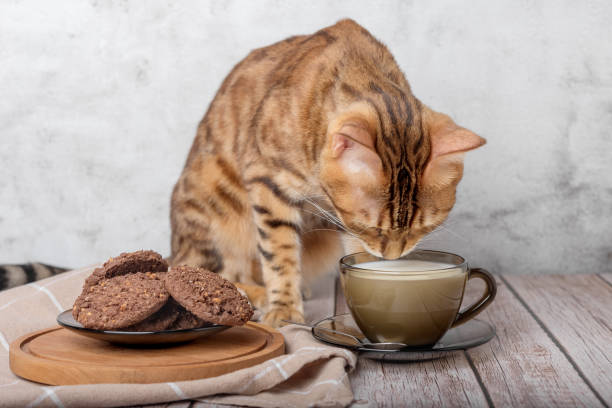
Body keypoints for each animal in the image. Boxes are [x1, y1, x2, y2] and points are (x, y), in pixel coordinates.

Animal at [170, 19, 486, 326]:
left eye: (422, 229)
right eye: (370, 226)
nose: (391, 257)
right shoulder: (267, 181)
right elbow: (279, 253)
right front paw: (284, 306)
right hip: (214, 211)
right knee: (202, 269)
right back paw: (255, 294)